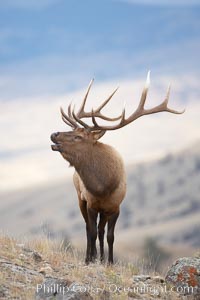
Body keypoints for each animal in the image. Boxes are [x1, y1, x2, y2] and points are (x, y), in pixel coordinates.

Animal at [50, 73, 184, 264]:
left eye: (78, 137)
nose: (54, 134)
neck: (103, 187)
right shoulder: (91, 203)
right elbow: (91, 231)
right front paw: (90, 259)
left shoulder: (116, 207)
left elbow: (110, 236)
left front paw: (110, 262)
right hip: (79, 197)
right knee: (89, 228)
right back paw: (91, 256)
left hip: (103, 210)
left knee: (100, 231)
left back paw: (101, 257)